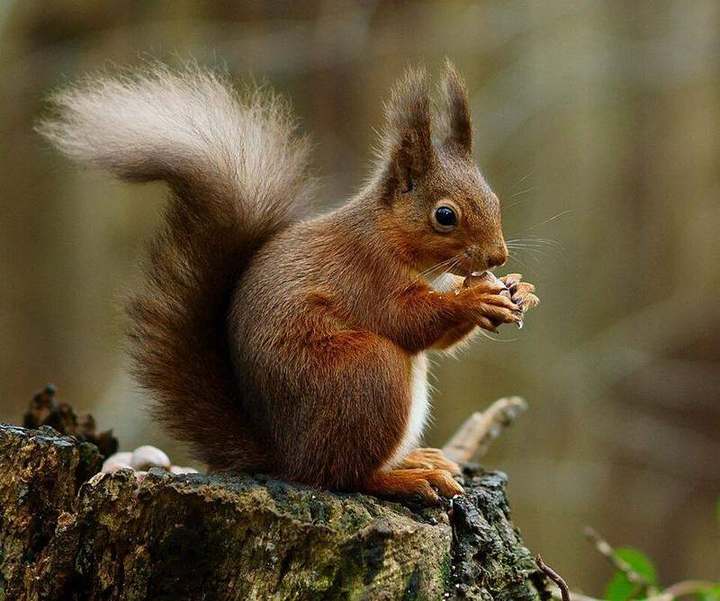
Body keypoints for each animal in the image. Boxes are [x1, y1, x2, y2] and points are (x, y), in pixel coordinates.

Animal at [38, 61, 539, 505]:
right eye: (445, 215)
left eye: (493, 198)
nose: (498, 256)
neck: (388, 235)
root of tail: (285, 457)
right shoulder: (364, 273)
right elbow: (408, 320)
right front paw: (474, 298)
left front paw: (519, 289)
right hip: (365, 372)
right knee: (343, 475)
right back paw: (404, 478)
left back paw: (417, 460)